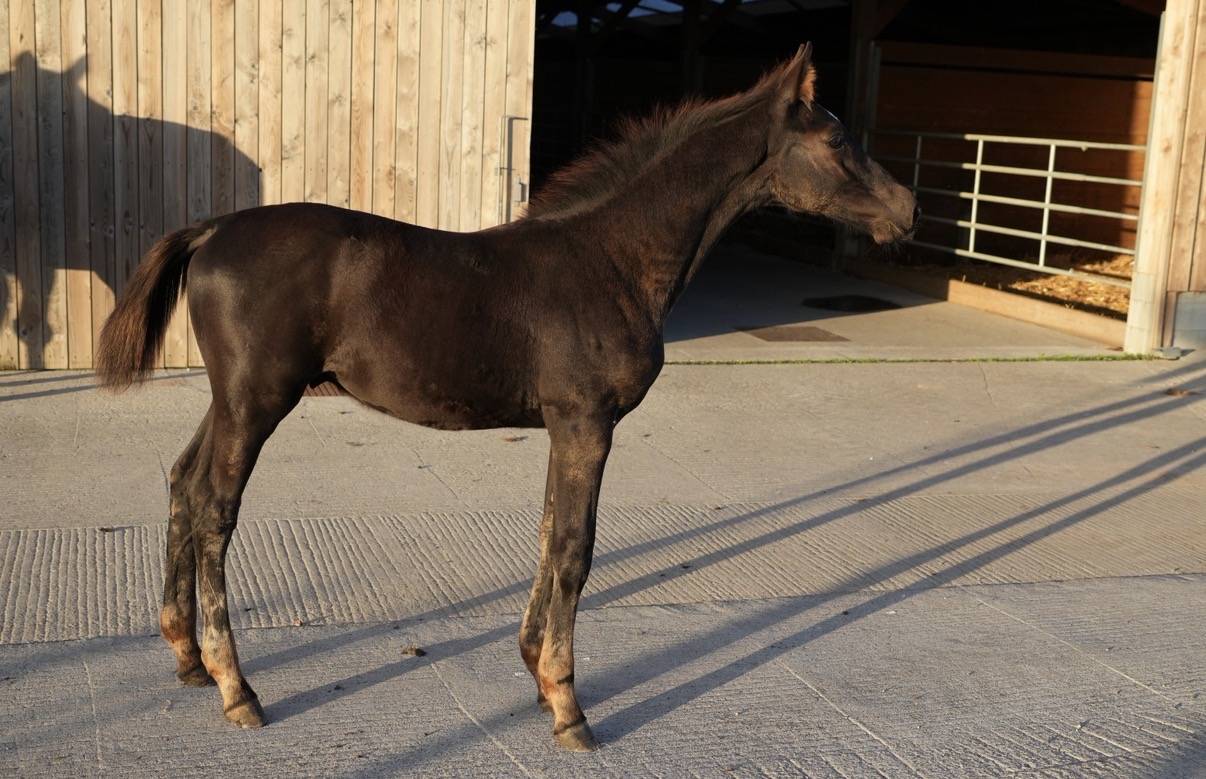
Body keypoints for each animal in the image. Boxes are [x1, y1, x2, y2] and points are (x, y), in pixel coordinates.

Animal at [96, 44, 917, 751]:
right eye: (837, 141)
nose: (906, 210)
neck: (611, 258)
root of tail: (211, 229)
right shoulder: (588, 422)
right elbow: (576, 549)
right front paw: (568, 706)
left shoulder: (563, 425)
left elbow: (549, 532)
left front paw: (536, 674)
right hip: (257, 400)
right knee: (214, 509)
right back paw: (237, 688)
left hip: (231, 400)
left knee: (183, 480)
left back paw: (187, 658)